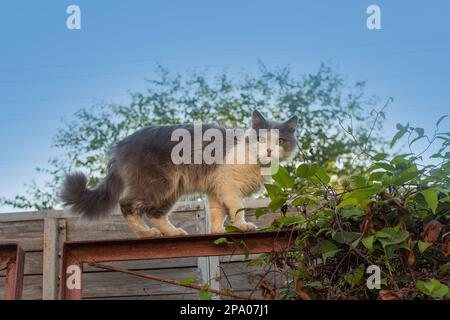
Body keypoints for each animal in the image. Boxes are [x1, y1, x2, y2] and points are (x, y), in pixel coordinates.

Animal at [60, 111, 298, 236]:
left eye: (280, 141)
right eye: (261, 139)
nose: (269, 150)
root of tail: (123, 143)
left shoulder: (215, 188)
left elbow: (216, 213)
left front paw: (217, 231)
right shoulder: (229, 186)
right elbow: (235, 209)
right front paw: (242, 226)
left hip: (171, 190)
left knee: (154, 214)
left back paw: (173, 232)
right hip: (160, 184)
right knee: (127, 205)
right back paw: (146, 233)